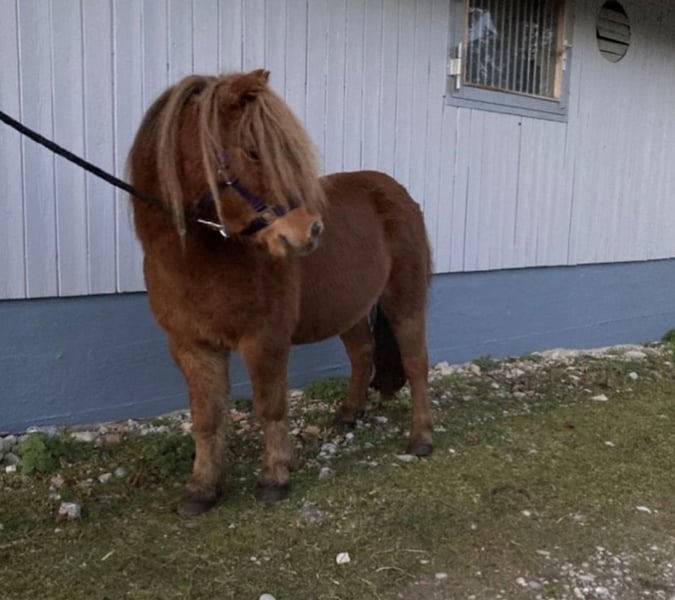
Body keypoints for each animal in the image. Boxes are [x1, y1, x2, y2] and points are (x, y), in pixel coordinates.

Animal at [127, 69, 434, 516]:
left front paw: (275, 476)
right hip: (349, 308)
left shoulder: (264, 340)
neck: (202, 258)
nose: (311, 231)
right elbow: (205, 417)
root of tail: (396, 191)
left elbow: (269, 406)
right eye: (254, 153)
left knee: (415, 363)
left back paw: (422, 437)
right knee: (363, 353)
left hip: (404, 298)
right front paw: (201, 488)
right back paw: (347, 415)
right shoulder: (191, 346)